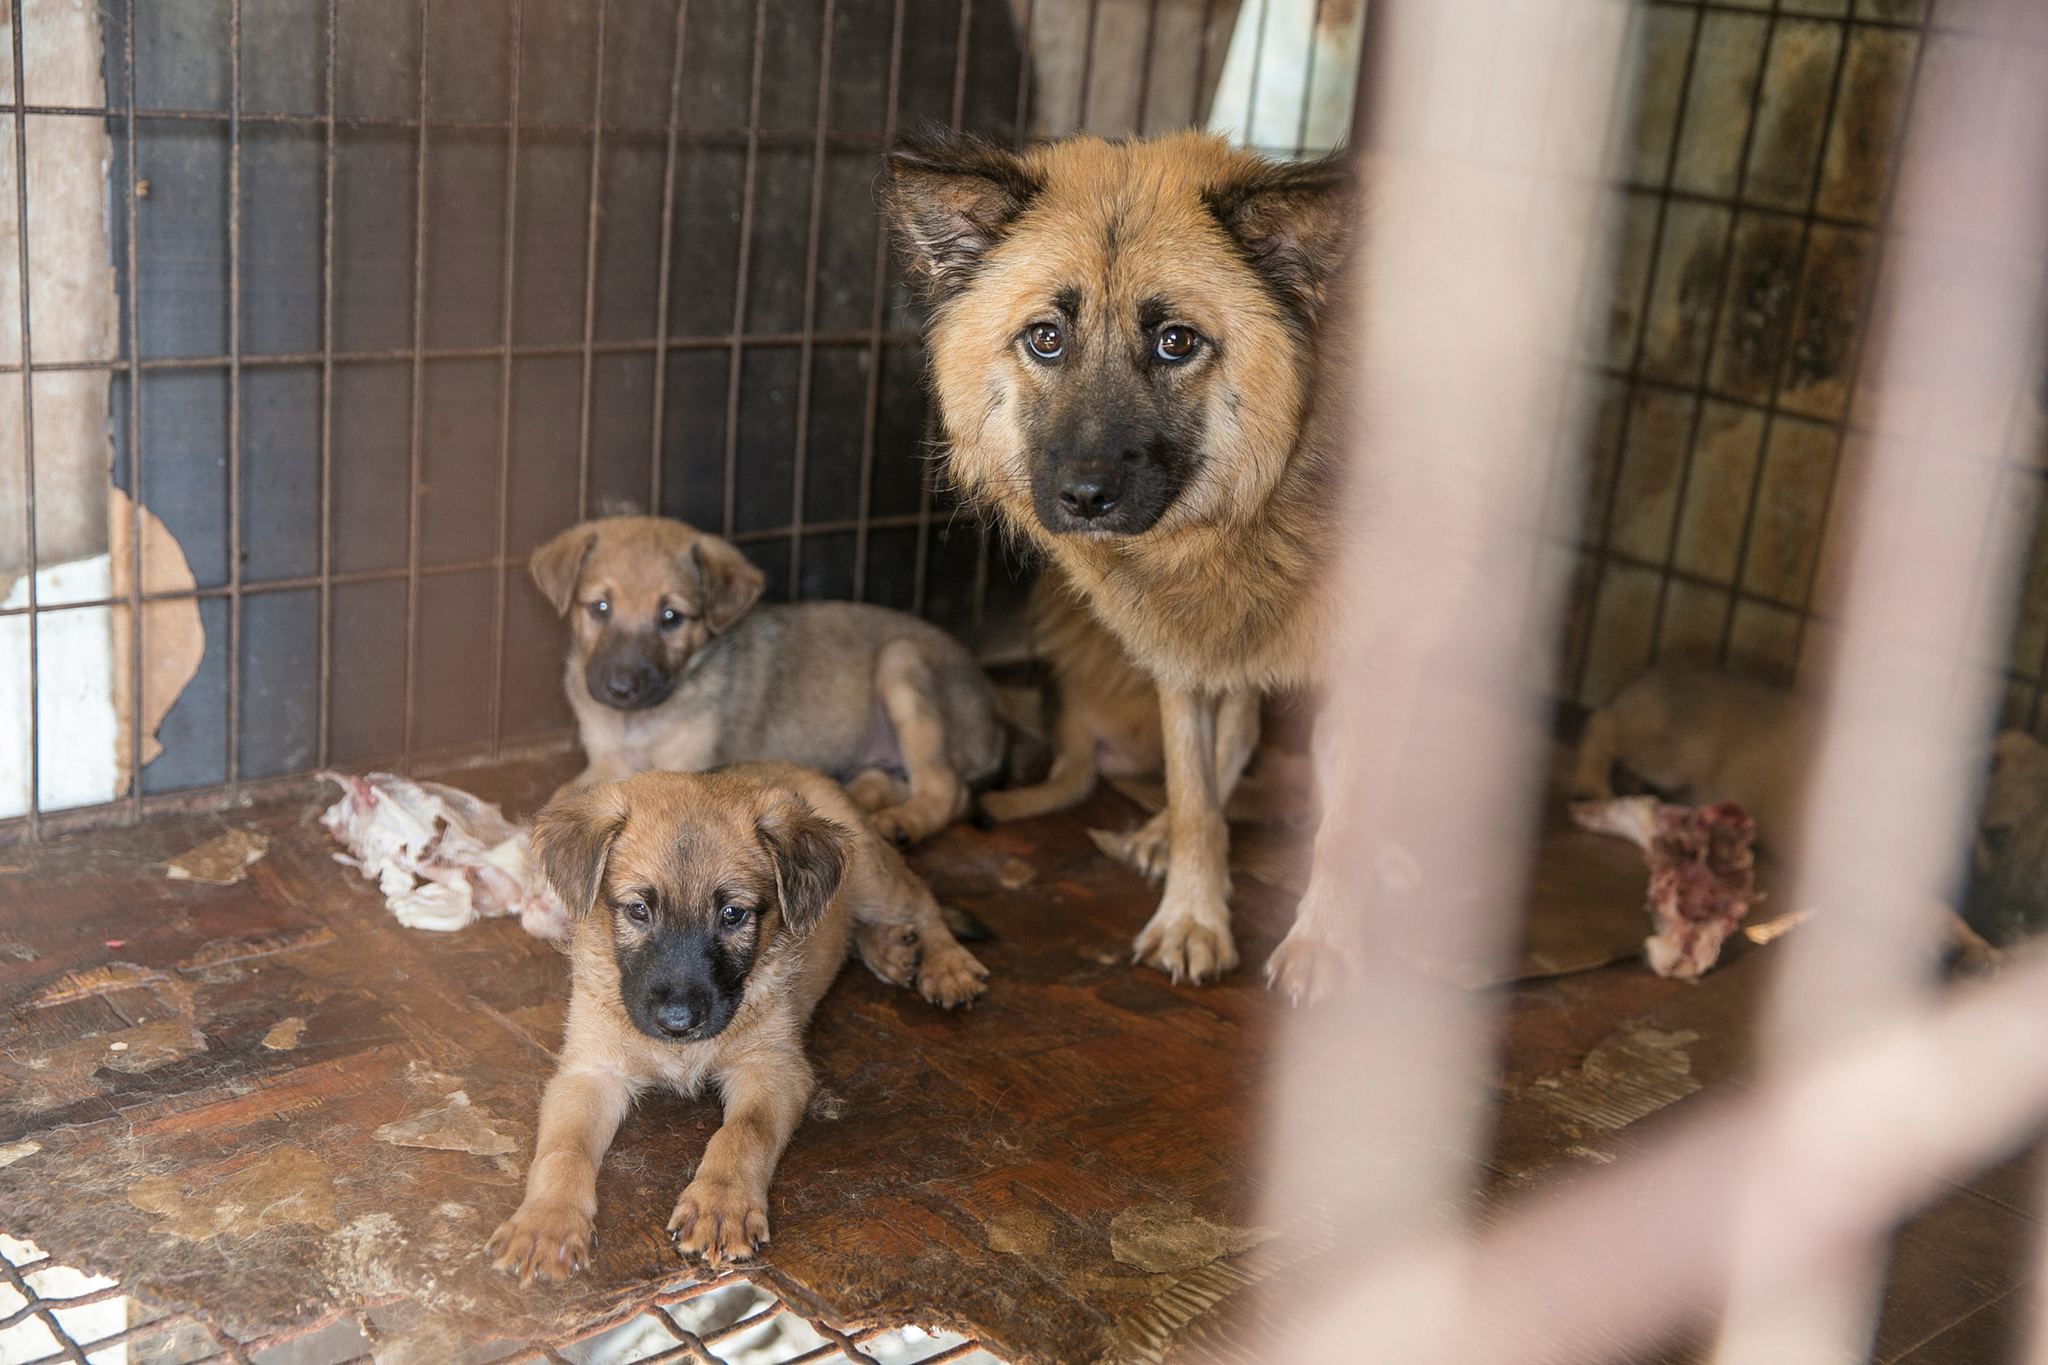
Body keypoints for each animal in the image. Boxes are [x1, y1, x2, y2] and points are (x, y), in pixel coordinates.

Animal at [487, 757, 983, 1285]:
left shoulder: (773, 1067)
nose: (678, 1021)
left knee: (920, 901)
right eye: (638, 909)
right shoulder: (590, 1071)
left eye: (732, 914)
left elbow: (743, 1133)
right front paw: (546, 1223)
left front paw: (720, 1205)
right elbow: (563, 1150)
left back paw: (945, 963)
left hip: (871, 875)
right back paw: (892, 949)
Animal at [532, 517, 1003, 847]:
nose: (622, 688)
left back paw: (903, 822)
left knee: (948, 788)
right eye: (600, 607)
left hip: (902, 663)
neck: (641, 721)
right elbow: (564, 793)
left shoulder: (688, 765)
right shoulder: (606, 760)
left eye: (671, 617)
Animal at [884, 130, 1351, 994]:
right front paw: (1194, 916)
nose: (1083, 497)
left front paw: (1324, 945)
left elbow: (1348, 820)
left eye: (1176, 342)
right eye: (1046, 337)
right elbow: (1197, 791)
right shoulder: (1186, 643)